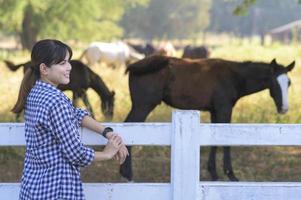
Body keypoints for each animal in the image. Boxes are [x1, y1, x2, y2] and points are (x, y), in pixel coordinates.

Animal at [119, 54, 292, 181]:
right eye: (274, 82)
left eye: (288, 83)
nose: (284, 108)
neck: (233, 76)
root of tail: (133, 66)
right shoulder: (224, 109)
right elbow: (225, 142)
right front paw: (231, 175)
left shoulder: (214, 111)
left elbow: (214, 141)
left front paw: (214, 173)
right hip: (143, 106)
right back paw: (127, 174)